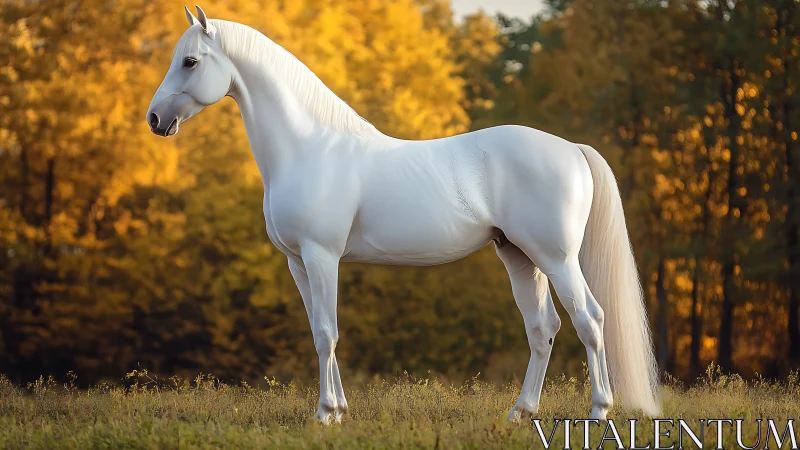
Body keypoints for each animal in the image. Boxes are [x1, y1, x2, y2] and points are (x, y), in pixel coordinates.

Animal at [147, 6, 661, 424]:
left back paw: (598, 412)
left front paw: (326, 414)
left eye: (190, 61)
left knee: (589, 319)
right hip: (519, 256)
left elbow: (327, 333)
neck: (308, 148)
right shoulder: (297, 263)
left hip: (557, 258)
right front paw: (339, 409)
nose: (154, 120)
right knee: (543, 329)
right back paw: (520, 412)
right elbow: (319, 330)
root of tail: (572, 148)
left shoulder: (321, 257)